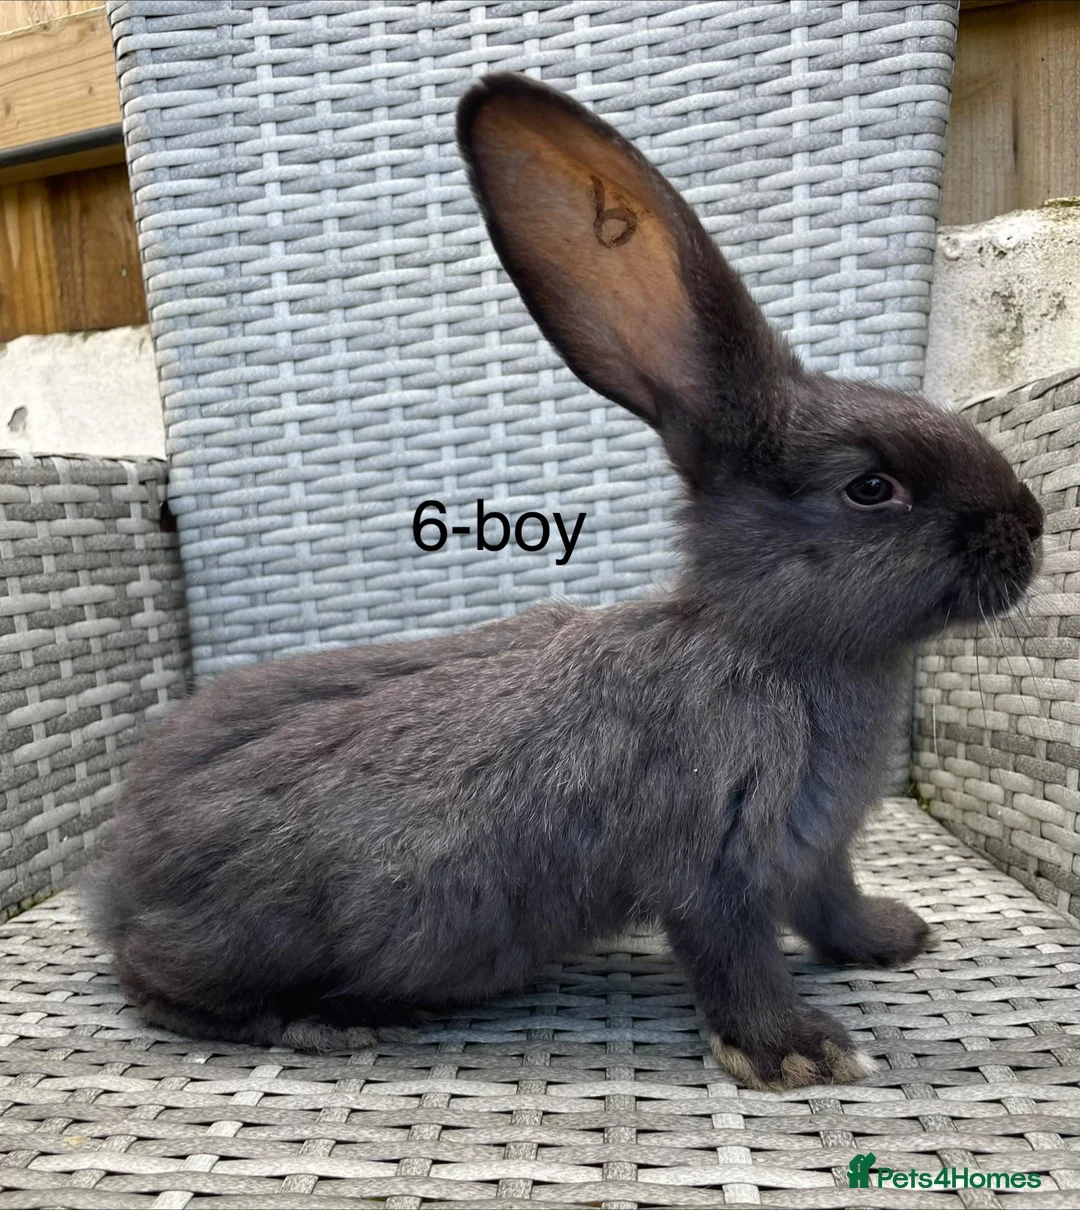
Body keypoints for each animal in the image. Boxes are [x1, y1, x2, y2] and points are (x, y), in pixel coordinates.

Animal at [89, 72, 1044, 1091]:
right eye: (871, 488)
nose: (1029, 527)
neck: (767, 642)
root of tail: (117, 883)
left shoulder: (821, 854)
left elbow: (833, 908)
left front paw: (894, 938)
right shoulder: (720, 863)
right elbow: (735, 958)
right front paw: (798, 1053)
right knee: (154, 988)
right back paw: (319, 1025)